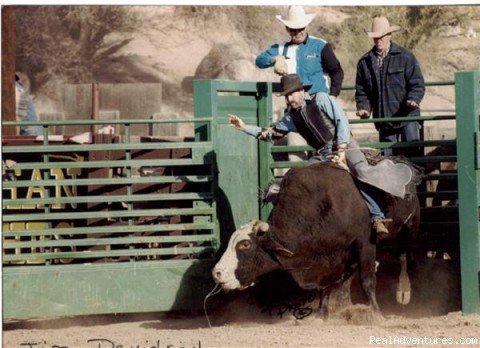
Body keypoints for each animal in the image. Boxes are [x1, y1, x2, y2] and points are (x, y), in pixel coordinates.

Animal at [212, 162, 418, 316]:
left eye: (245, 244)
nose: (217, 273)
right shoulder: (328, 257)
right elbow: (326, 284)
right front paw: (322, 313)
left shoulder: (365, 243)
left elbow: (367, 281)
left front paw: (376, 314)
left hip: (410, 228)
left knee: (404, 256)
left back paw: (404, 290)